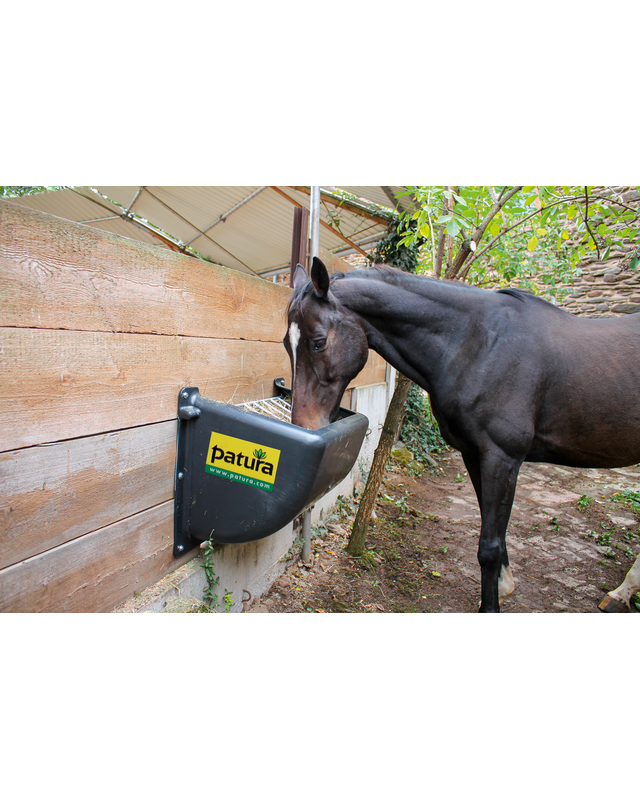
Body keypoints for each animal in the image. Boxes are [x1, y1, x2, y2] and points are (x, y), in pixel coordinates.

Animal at [284, 257, 640, 613]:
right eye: (287, 344)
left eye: (318, 341)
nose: (305, 425)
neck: (478, 345)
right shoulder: (474, 454)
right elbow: (493, 529)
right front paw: (504, 586)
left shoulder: (502, 458)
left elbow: (490, 545)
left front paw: (491, 605)